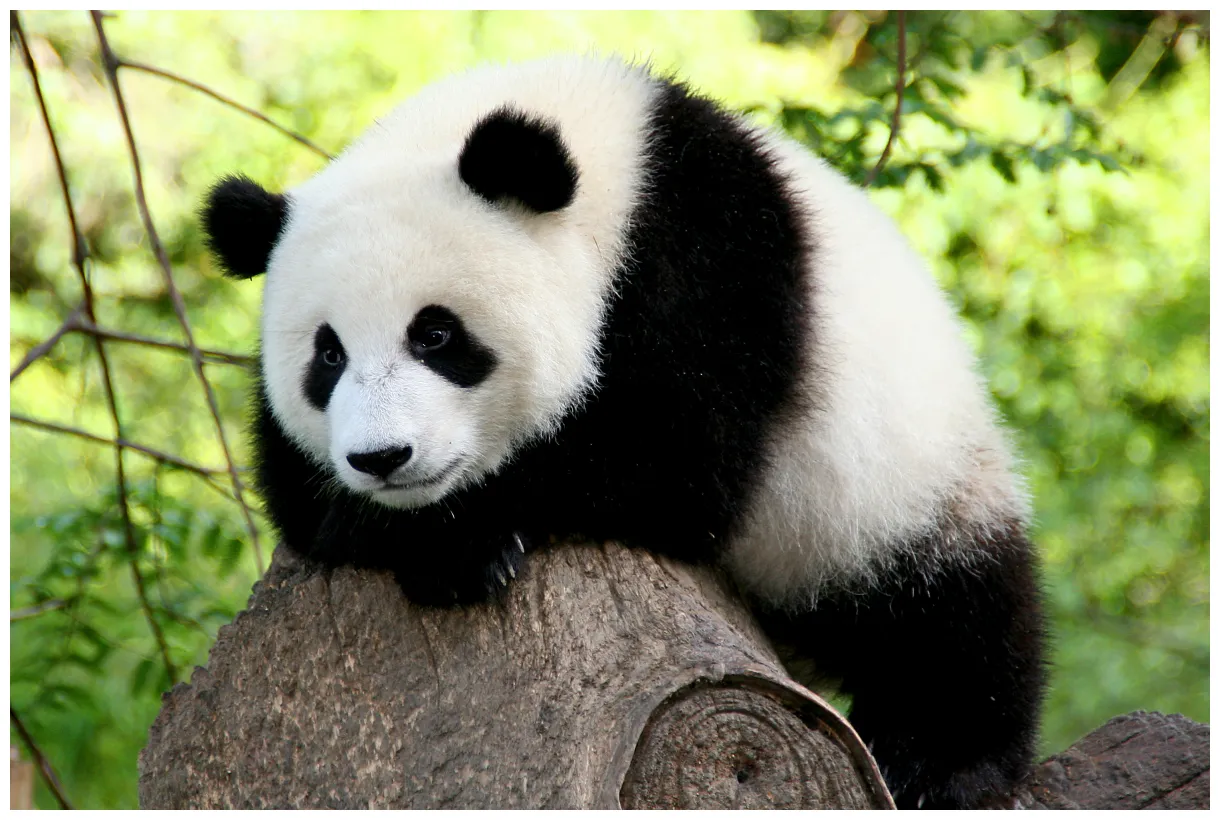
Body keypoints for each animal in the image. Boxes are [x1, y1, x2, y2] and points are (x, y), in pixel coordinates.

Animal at [202, 55, 1046, 809]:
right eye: (328, 355)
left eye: (436, 335)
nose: (382, 458)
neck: (611, 179)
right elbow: (295, 491)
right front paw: (400, 531)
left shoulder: (715, 264)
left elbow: (674, 457)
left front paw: (462, 539)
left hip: (904, 476)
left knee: (949, 615)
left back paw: (938, 761)